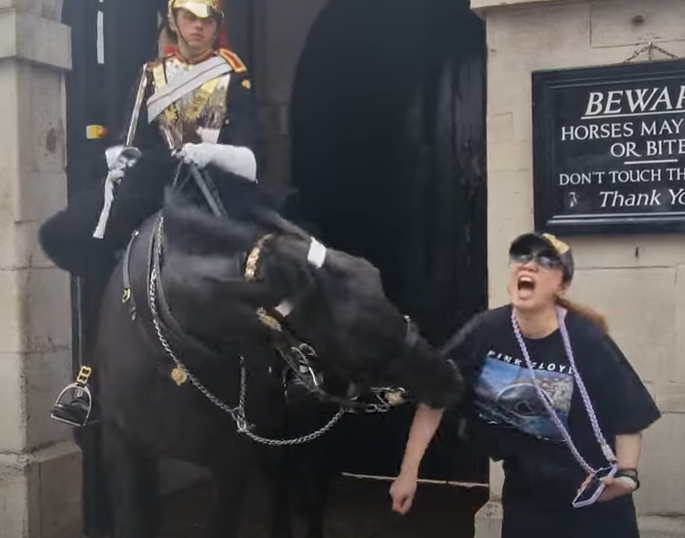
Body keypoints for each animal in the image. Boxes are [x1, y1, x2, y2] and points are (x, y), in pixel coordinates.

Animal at [40, 159, 462, 536]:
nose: (449, 378)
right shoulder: (127, 448)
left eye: (376, 280)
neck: (176, 358)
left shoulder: (231, 463)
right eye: (352, 334)